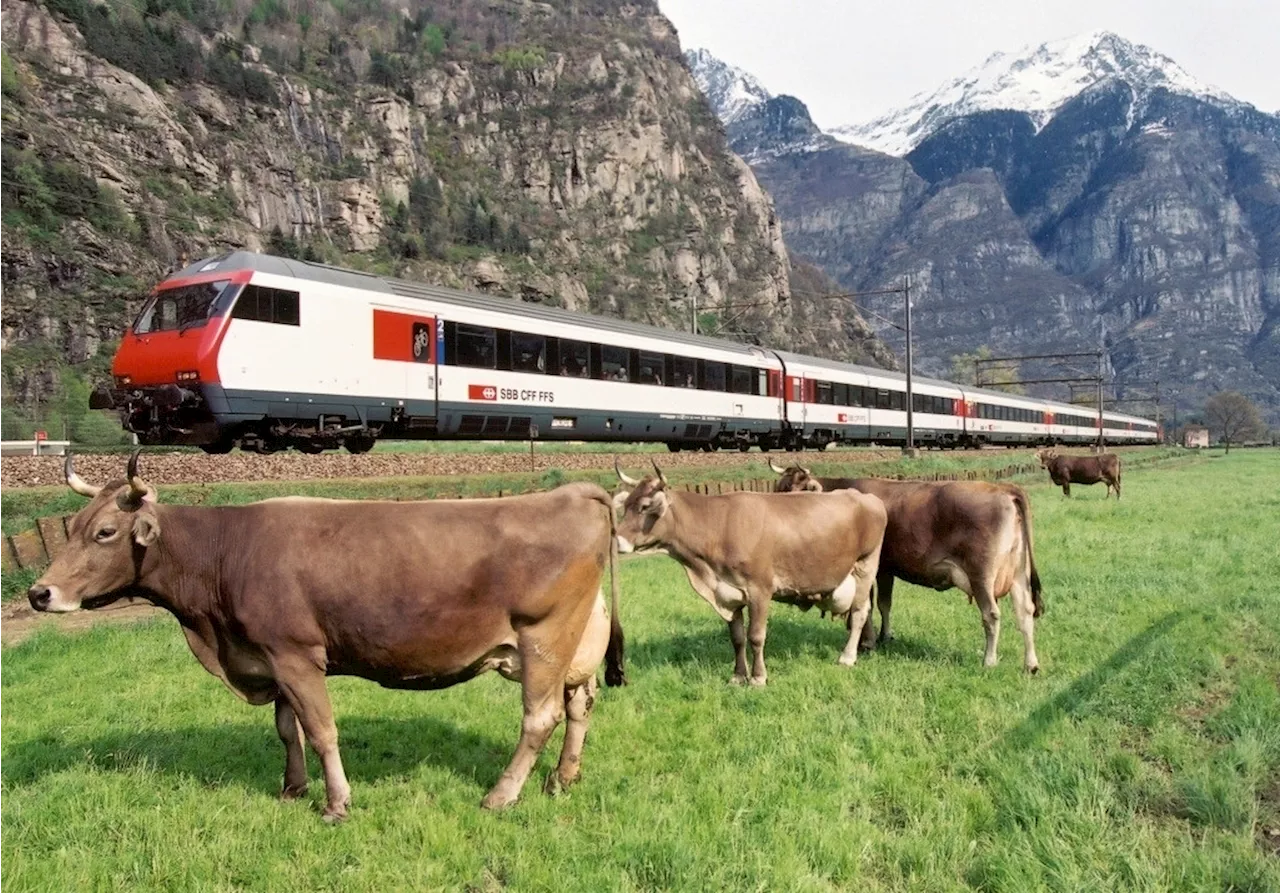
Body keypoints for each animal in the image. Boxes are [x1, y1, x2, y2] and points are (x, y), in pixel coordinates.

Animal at [27, 452, 627, 818]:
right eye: (73, 527)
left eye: (105, 532)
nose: (39, 593)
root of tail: (574, 491)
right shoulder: (269, 655)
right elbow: (286, 729)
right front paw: (292, 788)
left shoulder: (295, 654)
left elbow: (320, 730)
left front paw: (337, 802)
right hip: (577, 639)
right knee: (580, 703)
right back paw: (563, 779)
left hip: (543, 637)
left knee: (540, 717)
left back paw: (501, 795)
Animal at [614, 458, 885, 680]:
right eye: (626, 506)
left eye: (645, 506)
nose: (618, 540)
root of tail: (867, 498)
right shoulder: (728, 594)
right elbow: (737, 638)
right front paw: (737, 676)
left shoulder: (760, 590)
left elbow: (756, 636)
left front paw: (758, 677)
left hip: (865, 566)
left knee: (860, 612)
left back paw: (847, 657)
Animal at [768, 463, 1039, 670]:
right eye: (779, 488)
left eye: (797, 490)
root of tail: (1003, 489)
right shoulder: (886, 569)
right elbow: (884, 603)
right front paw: (884, 636)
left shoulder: (872, 566)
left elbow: (867, 603)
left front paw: (866, 643)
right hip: (1018, 573)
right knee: (1025, 612)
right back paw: (1031, 664)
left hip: (981, 574)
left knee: (991, 614)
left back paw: (989, 660)